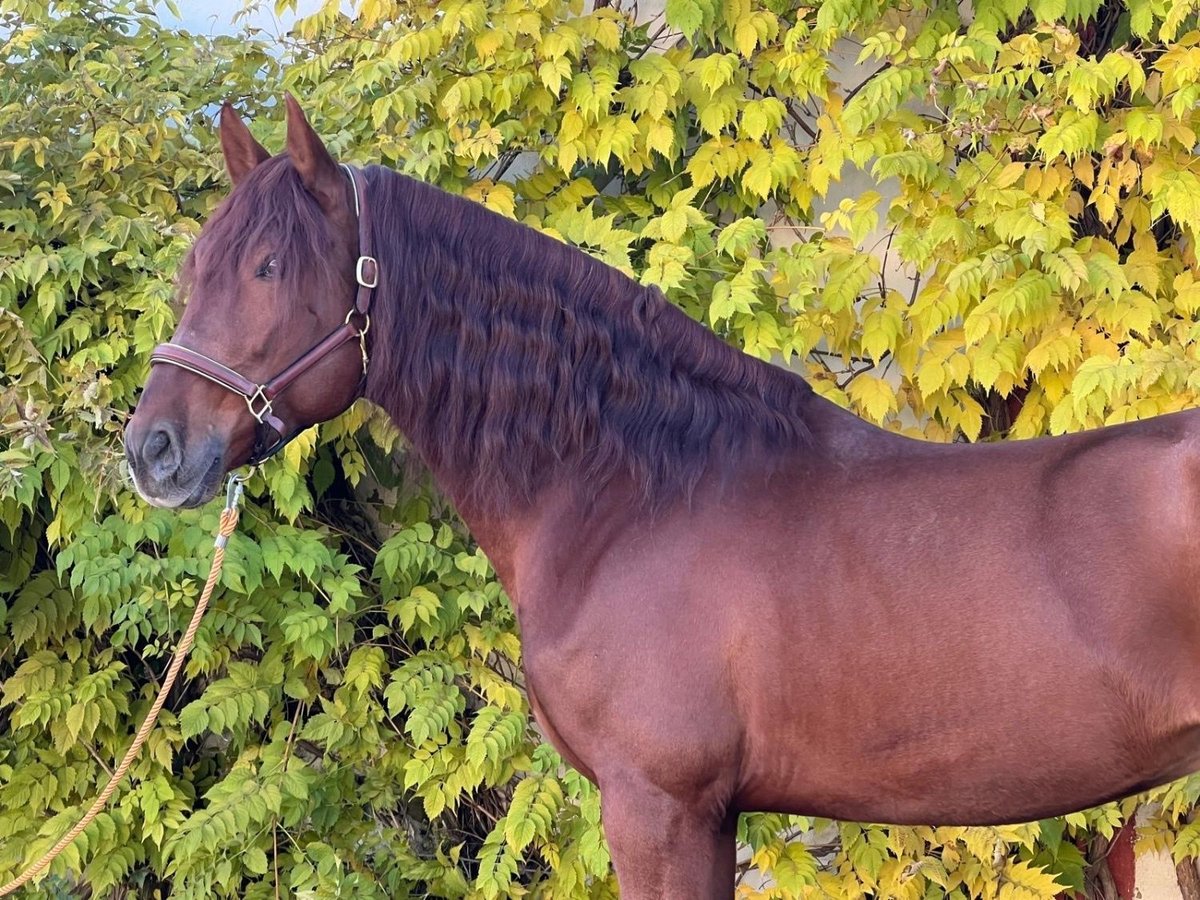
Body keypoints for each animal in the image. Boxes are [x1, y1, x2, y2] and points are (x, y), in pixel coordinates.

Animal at [124, 95, 1200, 897]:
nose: (153, 451)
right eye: (194, 269)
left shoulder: (659, 807)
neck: (634, 492)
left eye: (269, 267)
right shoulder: (704, 815)